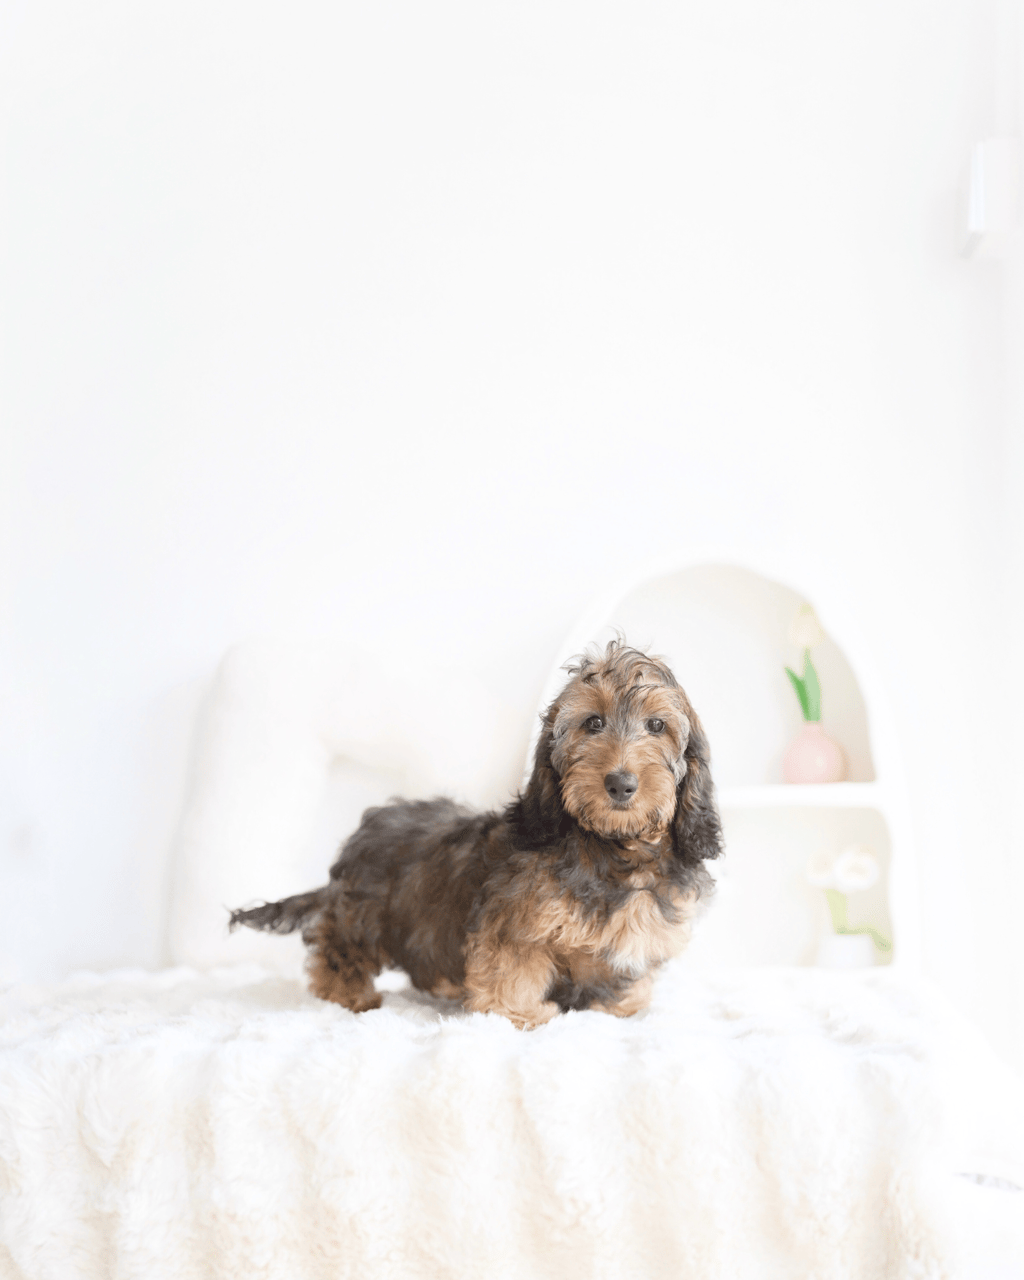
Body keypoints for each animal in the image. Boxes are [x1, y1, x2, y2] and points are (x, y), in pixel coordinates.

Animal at [229, 640, 723, 1029]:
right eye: (593, 723)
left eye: (657, 726)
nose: (620, 783)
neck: (615, 849)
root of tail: (362, 833)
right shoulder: (515, 927)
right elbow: (514, 970)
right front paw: (522, 1013)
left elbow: (622, 988)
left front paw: (622, 1008)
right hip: (361, 916)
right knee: (336, 948)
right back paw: (348, 992)